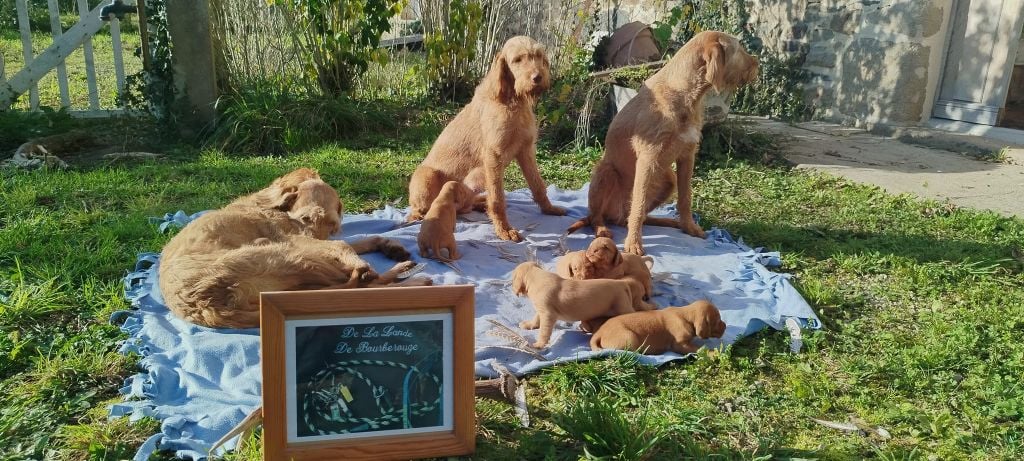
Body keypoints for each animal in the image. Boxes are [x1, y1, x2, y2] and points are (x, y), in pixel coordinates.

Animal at [407, 36, 569, 242]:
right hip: (426, 177)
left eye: (539, 56)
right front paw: (504, 230)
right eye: (517, 60)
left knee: (466, 204)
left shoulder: (526, 150)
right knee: (422, 211)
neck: (512, 101)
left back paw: (478, 202)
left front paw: (549, 209)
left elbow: (538, 185)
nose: (537, 78)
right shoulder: (494, 156)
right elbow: (498, 199)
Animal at [512, 261, 647, 348]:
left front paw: (539, 344)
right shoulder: (541, 309)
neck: (536, 275)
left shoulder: (548, 314)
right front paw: (529, 325)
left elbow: (544, 331)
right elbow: (536, 318)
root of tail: (622, 284)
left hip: (622, 307)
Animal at [569, 31, 761, 256]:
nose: (758, 63)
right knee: (598, 216)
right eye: (739, 49)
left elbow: (685, 198)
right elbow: (638, 203)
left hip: (668, 179)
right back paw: (602, 230)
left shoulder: (688, 155)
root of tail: (614, 215)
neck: (685, 95)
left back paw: (665, 222)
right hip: (606, 171)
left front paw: (689, 227)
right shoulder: (647, 157)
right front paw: (633, 243)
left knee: (632, 216)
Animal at [585, 301, 729, 354]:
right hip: (630, 338)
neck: (686, 315)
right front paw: (713, 353)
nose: (726, 326)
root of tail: (599, 332)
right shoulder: (680, 344)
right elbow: (699, 348)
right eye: (717, 320)